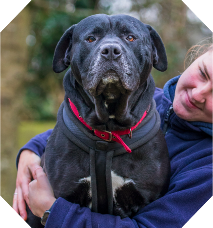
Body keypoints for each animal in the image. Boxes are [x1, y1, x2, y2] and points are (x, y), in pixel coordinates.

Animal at [25, 13, 171, 226]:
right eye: (91, 39)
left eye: (130, 37)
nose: (110, 51)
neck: (108, 128)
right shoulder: (65, 192)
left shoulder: (146, 197)